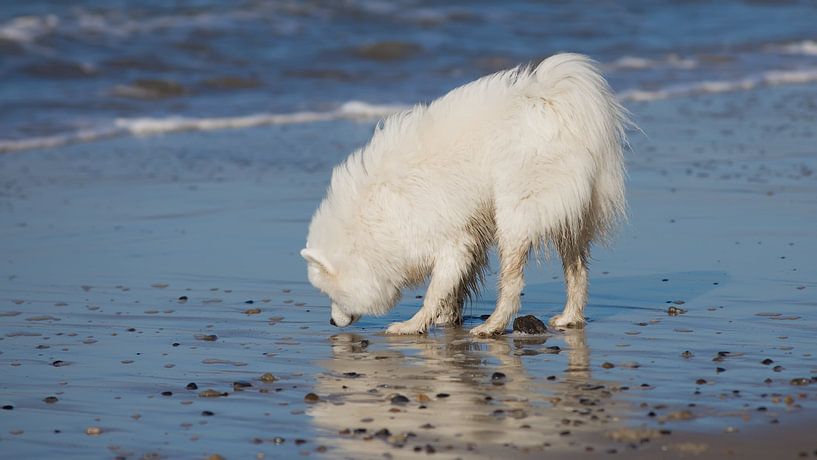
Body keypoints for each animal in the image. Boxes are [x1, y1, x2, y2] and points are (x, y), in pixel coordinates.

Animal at [302, 53, 628, 334]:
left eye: (330, 293)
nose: (331, 322)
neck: (371, 221)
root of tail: (553, 100)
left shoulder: (451, 241)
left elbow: (435, 290)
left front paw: (411, 325)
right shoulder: (469, 236)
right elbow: (455, 288)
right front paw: (447, 318)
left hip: (515, 214)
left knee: (512, 282)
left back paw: (491, 326)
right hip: (569, 214)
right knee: (577, 270)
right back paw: (569, 318)